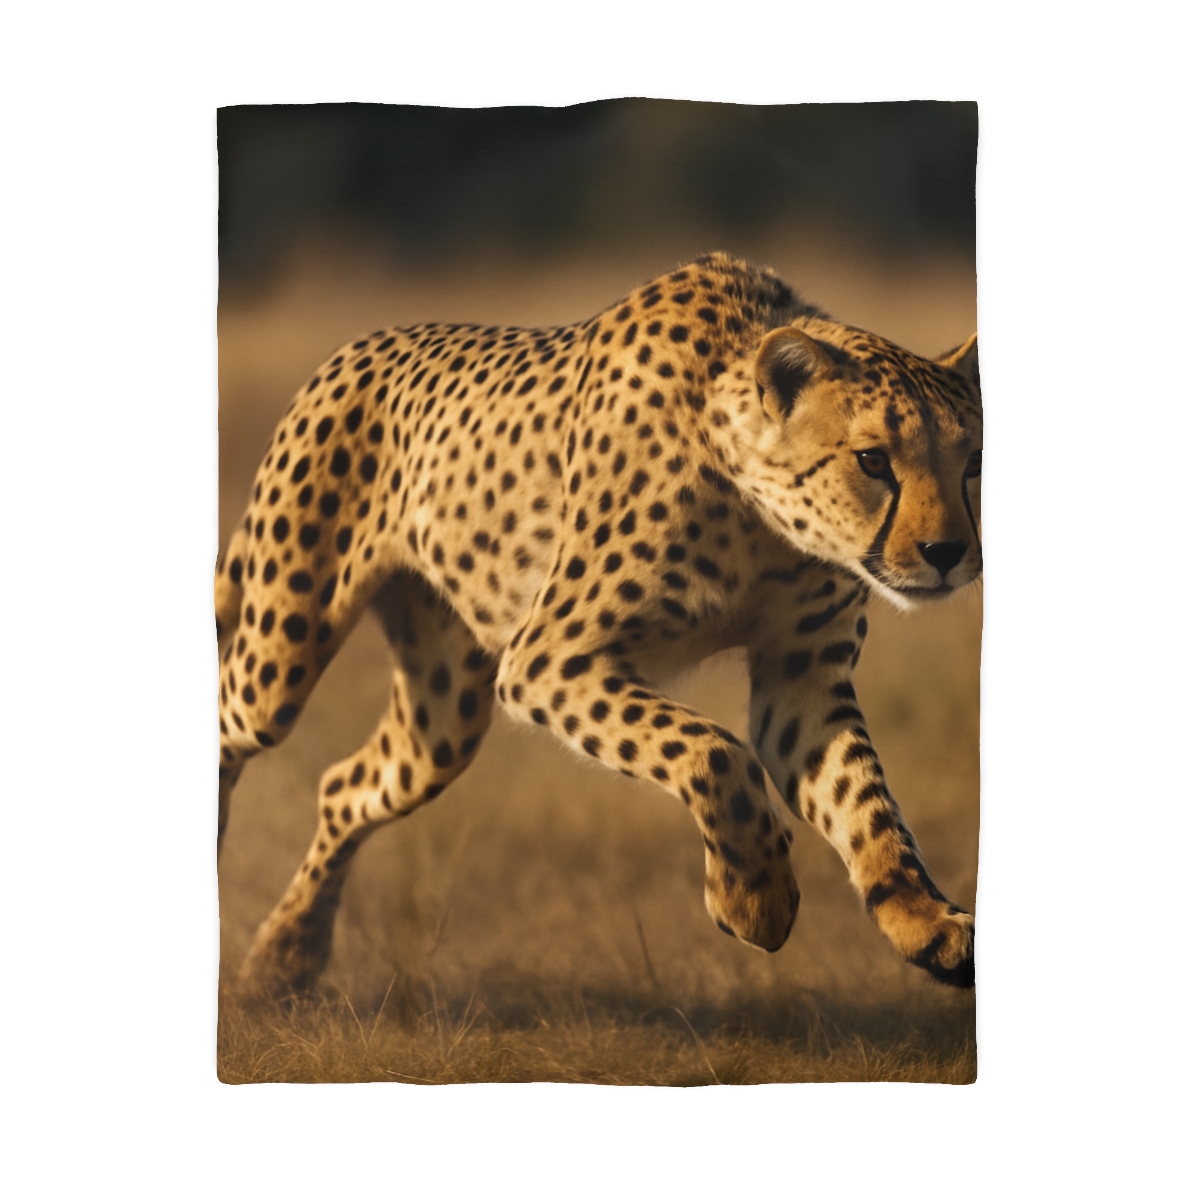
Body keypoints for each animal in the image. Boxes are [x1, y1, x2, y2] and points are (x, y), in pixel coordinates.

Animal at [215, 252, 982, 997]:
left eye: (973, 463)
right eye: (873, 460)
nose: (948, 553)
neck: (761, 519)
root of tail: (357, 347)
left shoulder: (801, 681)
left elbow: (866, 803)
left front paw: (925, 923)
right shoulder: (550, 658)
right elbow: (714, 751)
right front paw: (753, 898)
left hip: (444, 715)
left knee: (345, 786)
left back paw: (284, 961)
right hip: (281, 654)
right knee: (233, 722)